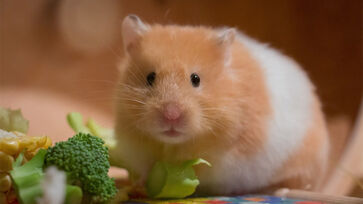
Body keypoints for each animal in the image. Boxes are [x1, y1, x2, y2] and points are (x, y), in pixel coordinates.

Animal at [113, 15, 330, 195]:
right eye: (150, 77)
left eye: (195, 79)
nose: (171, 115)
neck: (173, 145)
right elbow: (146, 169)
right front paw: (141, 184)